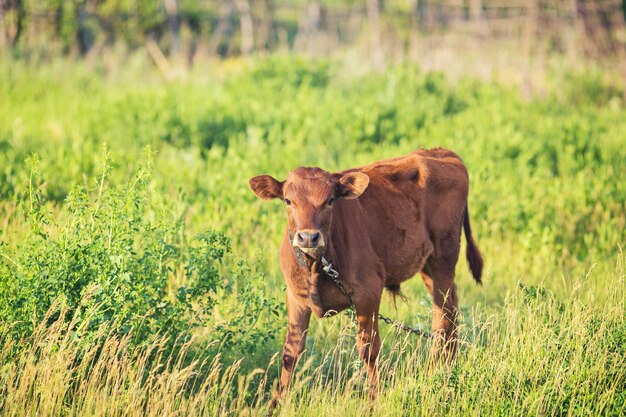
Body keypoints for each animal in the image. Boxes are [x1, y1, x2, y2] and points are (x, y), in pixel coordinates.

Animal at [246, 145, 480, 400]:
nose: (308, 237)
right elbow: (291, 351)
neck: (317, 265)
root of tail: (441, 152)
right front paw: (276, 402)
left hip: (443, 259)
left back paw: (441, 371)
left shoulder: (368, 292)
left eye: (330, 201)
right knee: (446, 311)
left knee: (444, 318)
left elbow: (368, 348)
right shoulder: (295, 297)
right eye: (288, 201)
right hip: (427, 265)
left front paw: (374, 399)